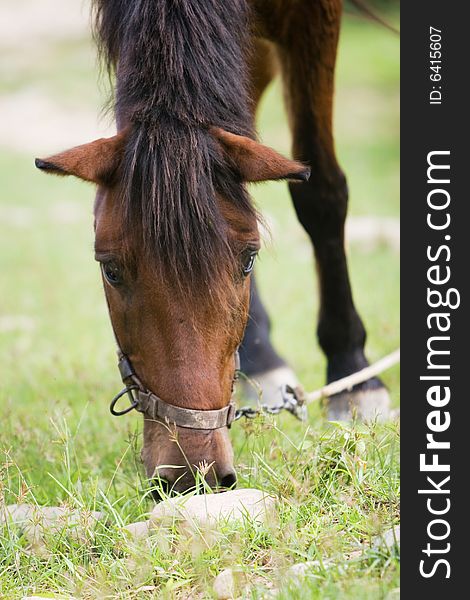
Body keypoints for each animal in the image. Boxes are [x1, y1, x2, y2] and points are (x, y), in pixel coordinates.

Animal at [35, 0, 390, 496]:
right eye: (110, 270)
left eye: (249, 259)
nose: (192, 471)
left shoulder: (315, 18)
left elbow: (320, 191)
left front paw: (351, 374)